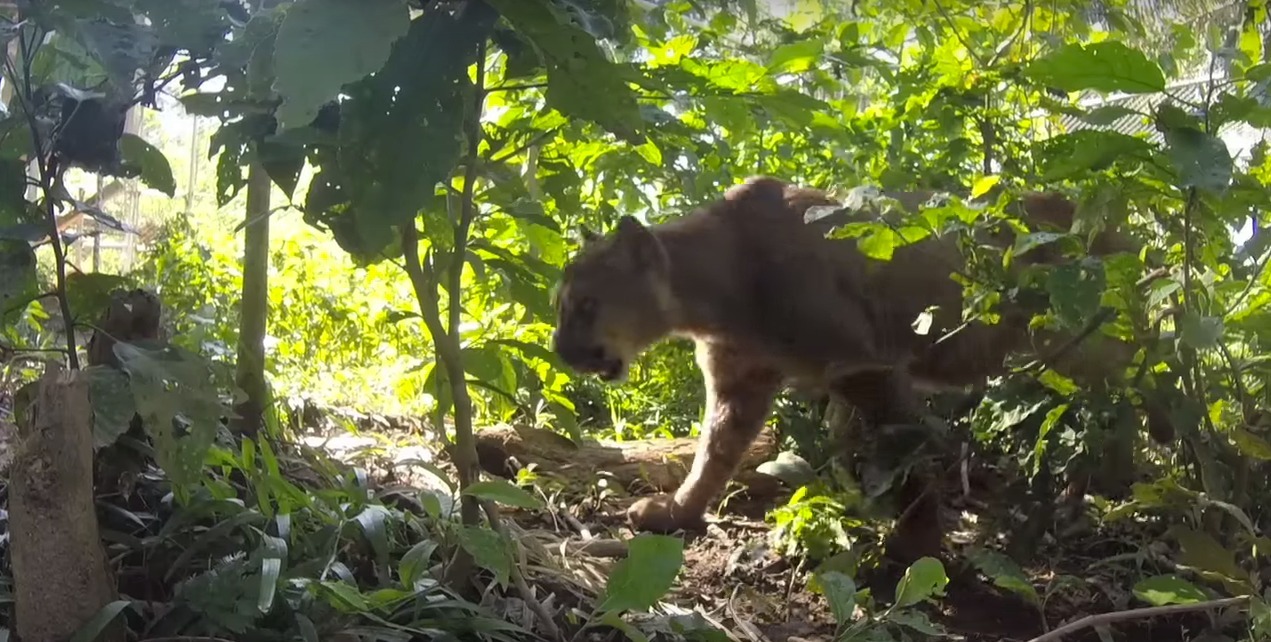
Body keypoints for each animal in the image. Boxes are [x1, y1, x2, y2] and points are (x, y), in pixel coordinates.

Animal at [550, 176, 1140, 541]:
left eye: (585, 304)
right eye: (562, 306)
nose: (559, 352)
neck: (719, 288)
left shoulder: (861, 364)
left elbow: (902, 456)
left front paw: (914, 548)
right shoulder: (741, 382)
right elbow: (715, 452)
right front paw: (678, 511)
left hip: (1086, 339)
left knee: (1140, 388)